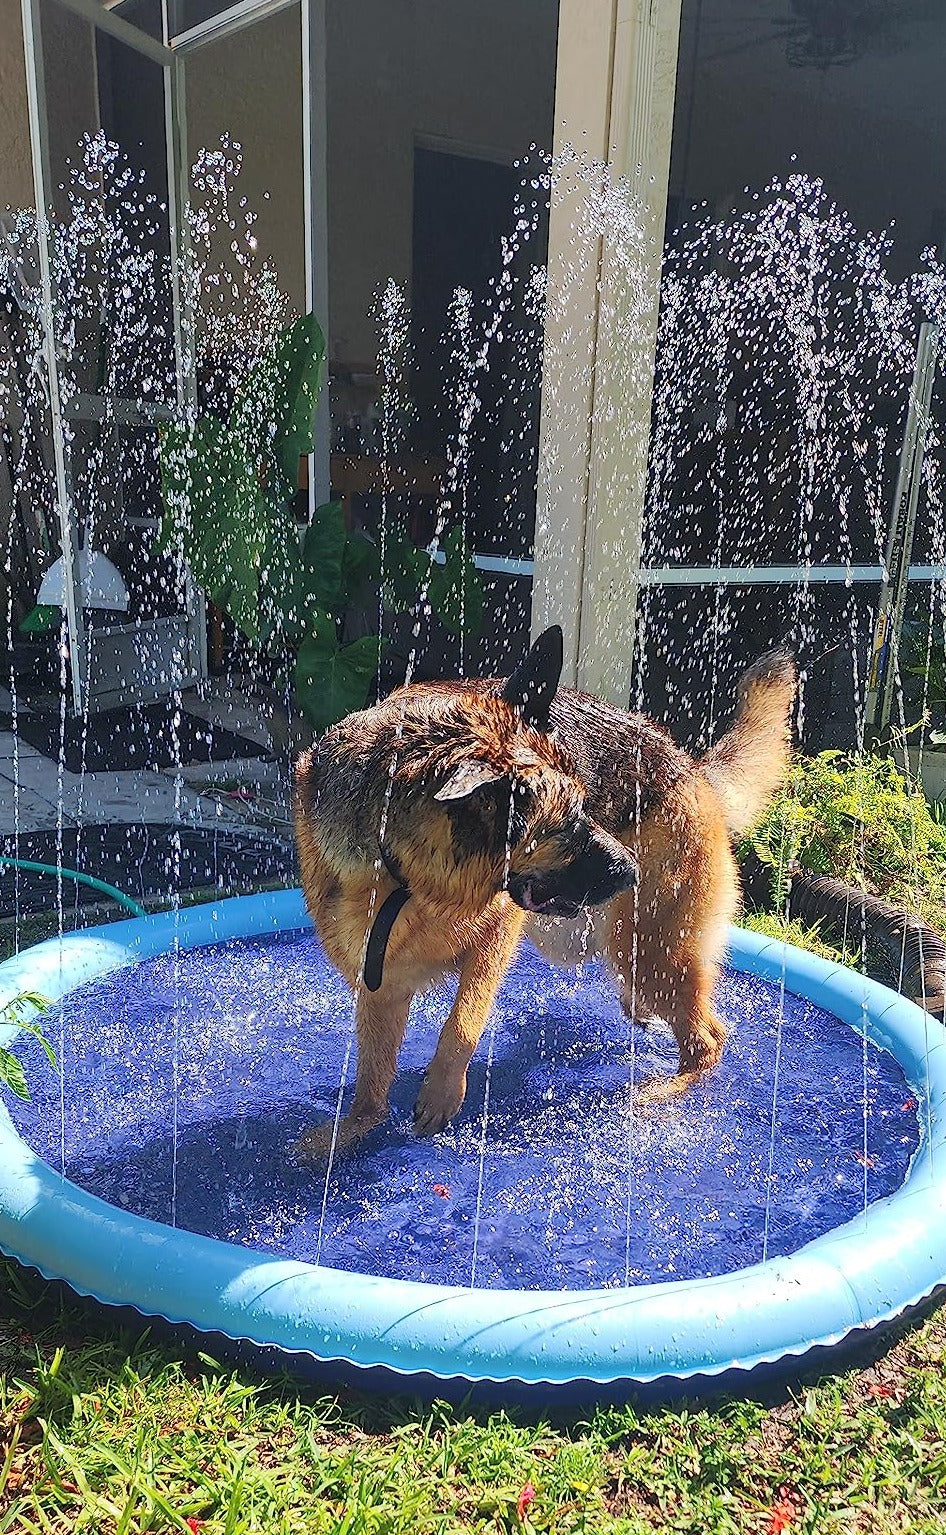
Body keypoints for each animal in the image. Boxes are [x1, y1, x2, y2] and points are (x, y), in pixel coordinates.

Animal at [291, 629, 792, 1154]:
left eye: (584, 805)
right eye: (567, 824)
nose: (633, 871)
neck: (406, 879)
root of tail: (691, 766)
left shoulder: (496, 935)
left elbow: (463, 1019)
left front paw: (442, 1091)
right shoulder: (379, 981)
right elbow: (371, 1080)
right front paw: (347, 1133)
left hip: (648, 950)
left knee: (709, 1037)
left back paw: (663, 1091)